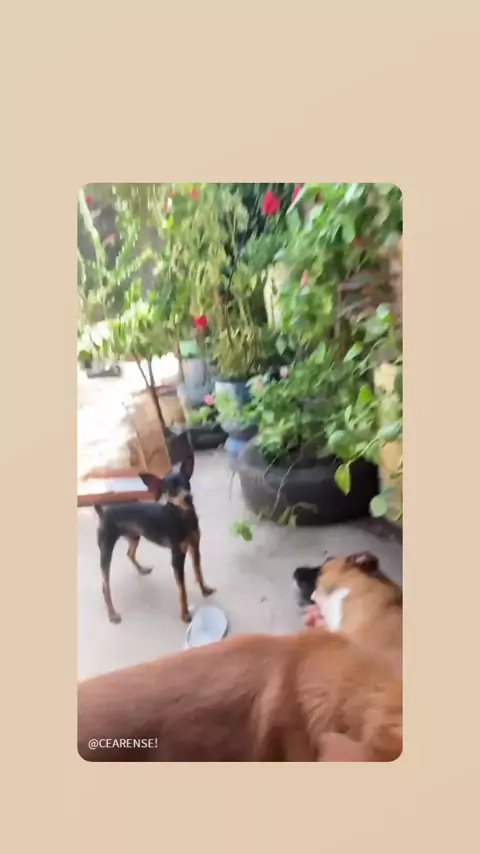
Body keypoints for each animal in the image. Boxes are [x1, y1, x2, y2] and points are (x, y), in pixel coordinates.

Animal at [94, 456, 215, 625]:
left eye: (187, 484)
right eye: (171, 490)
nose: (188, 497)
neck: (182, 517)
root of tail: (103, 512)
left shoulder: (195, 547)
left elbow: (199, 572)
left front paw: (205, 590)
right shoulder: (177, 558)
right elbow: (182, 589)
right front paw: (185, 614)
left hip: (134, 537)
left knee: (129, 553)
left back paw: (142, 569)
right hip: (106, 550)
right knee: (105, 586)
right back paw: (112, 614)